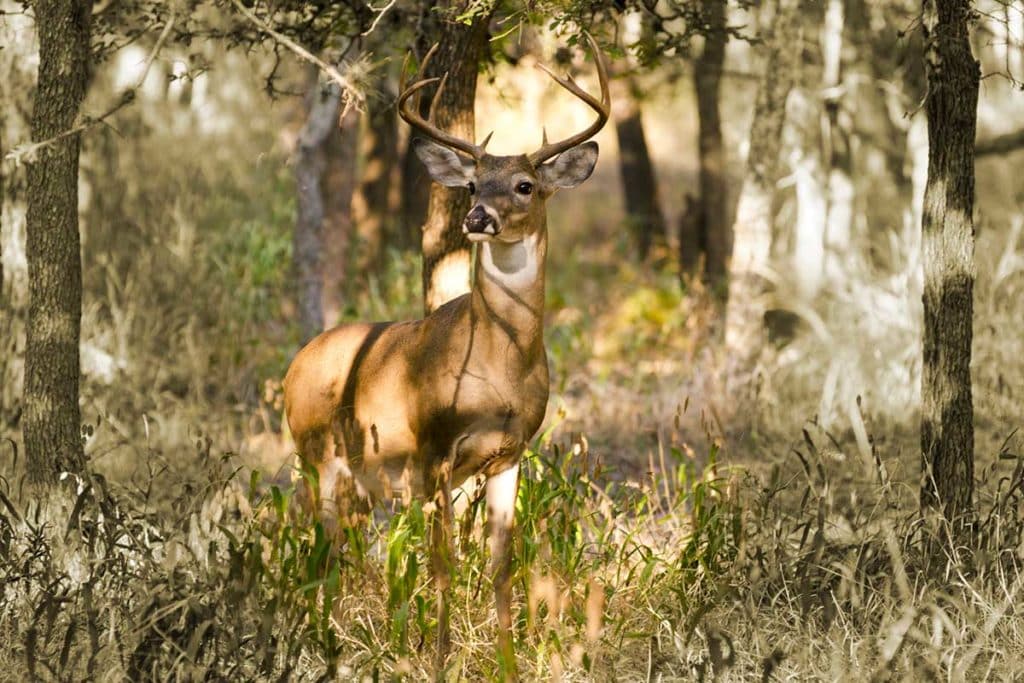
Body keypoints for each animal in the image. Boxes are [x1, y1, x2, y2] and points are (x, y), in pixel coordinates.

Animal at [282, 33, 606, 679]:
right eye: (473, 184)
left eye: (525, 185)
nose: (478, 218)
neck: (502, 371)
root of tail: (292, 366)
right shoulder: (433, 447)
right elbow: (444, 565)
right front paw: (438, 661)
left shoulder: (510, 453)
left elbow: (502, 566)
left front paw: (507, 664)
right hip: (317, 454)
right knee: (320, 552)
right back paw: (327, 645)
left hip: (361, 477)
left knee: (344, 552)